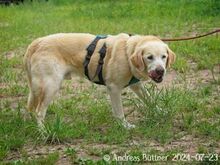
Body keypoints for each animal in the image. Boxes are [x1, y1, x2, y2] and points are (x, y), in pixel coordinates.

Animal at [23, 33, 175, 129]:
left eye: (164, 57)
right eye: (149, 57)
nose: (160, 70)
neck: (127, 51)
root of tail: (36, 43)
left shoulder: (137, 85)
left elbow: (149, 99)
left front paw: (160, 111)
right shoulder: (114, 88)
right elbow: (119, 112)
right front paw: (124, 126)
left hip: (38, 88)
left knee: (31, 109)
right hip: (51, 86)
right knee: (39, 112)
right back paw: (44, 132)